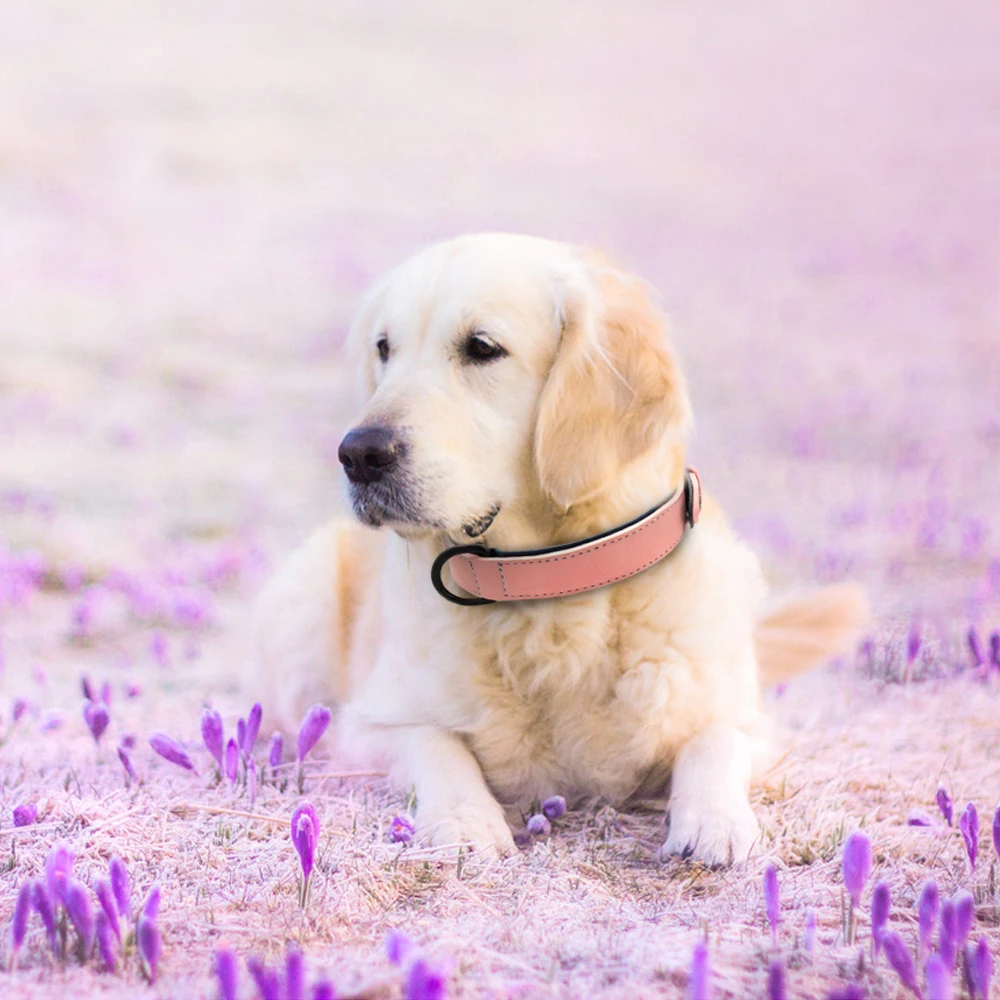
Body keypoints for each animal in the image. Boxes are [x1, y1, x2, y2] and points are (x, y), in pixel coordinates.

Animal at [252, 234, 868, 868]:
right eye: (384, 348)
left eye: (482, 347)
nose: (358, 454)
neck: (542, 584)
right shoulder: (370, 724)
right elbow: (435, 743)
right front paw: (464, 820)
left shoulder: (748, 719)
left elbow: (714, 738)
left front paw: (714, 820)